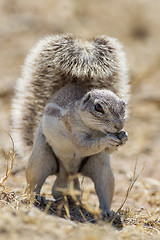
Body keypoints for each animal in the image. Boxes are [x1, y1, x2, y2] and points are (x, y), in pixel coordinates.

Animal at [11, 33, 129, 218]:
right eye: (98, 107)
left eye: (124, 107)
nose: (118, 126)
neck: (95, 130)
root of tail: (68, 172)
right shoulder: (72, 128)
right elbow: (82, 145)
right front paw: (107, 140)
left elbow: (107, 150)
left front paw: (124, 137)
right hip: (41, 159)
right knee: (34, 182)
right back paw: (37, 197)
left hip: (101, 169)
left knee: (103, 188)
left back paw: (105, 211)